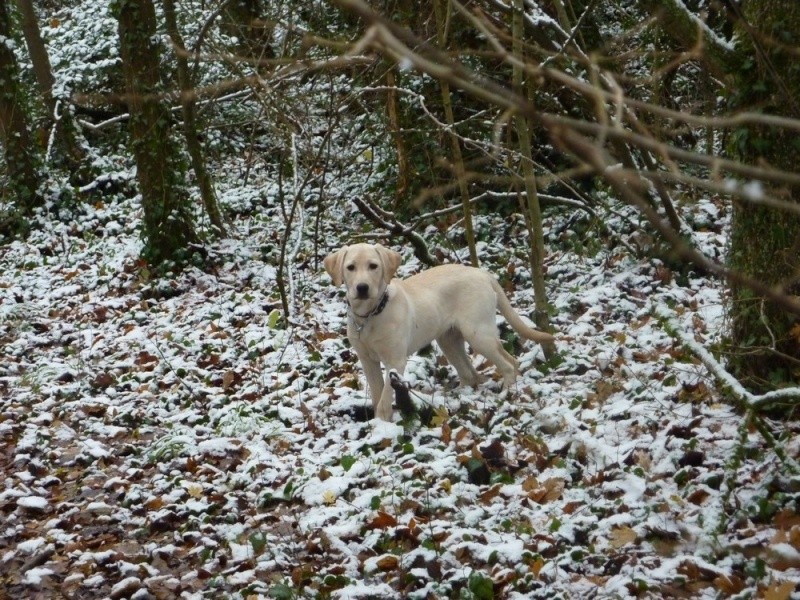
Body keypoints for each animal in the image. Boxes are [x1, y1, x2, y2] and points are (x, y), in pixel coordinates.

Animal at [322, 244, 552, 422]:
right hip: (448, 340)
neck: (370, 315)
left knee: (509, 362)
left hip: (477, 333)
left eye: (373, 266)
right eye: (350, 267)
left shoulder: (395, 361)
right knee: (470, 373)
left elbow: (386, 396)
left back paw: (506, 392)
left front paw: (382, 423)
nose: (362, 288)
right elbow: (377, 392)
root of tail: (482, 273)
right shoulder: (367, 360)